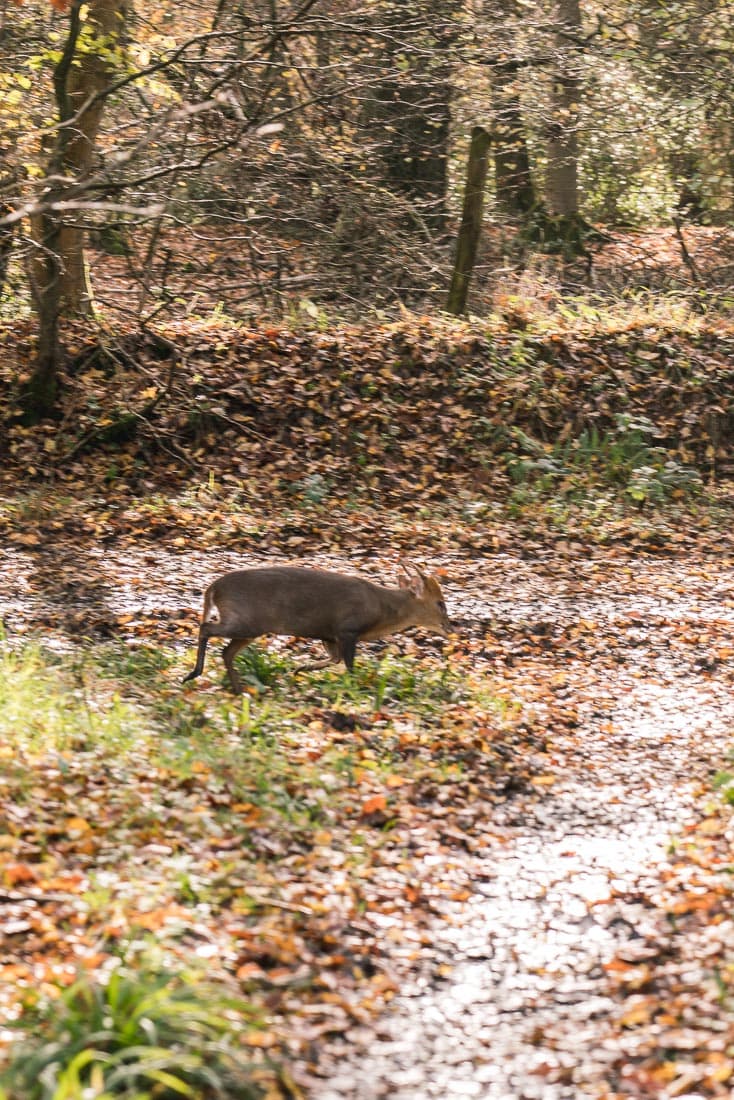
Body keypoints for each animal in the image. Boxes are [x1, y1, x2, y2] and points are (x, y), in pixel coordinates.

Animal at [180, 563, 451, 690]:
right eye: (440, 603)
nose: (450, 627)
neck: (381, 610)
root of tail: (213, 588)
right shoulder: (347, 629)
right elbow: (348, 665)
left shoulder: (329, 634)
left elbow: (334, 659)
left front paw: (300, 669)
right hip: (244, 621)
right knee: (206, 628)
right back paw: (193, 674)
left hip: (249, 626)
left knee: (226, 651)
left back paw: (238, 688)